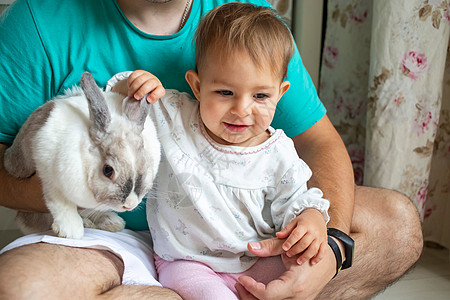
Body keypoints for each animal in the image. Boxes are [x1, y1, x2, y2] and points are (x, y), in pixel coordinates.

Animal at [2, 71, 161, 238]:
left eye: (146, 164)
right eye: (108, 171)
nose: (129, 205)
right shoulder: (48, 172)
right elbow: (59, 201)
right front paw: (71, 231)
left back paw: (112, 222)